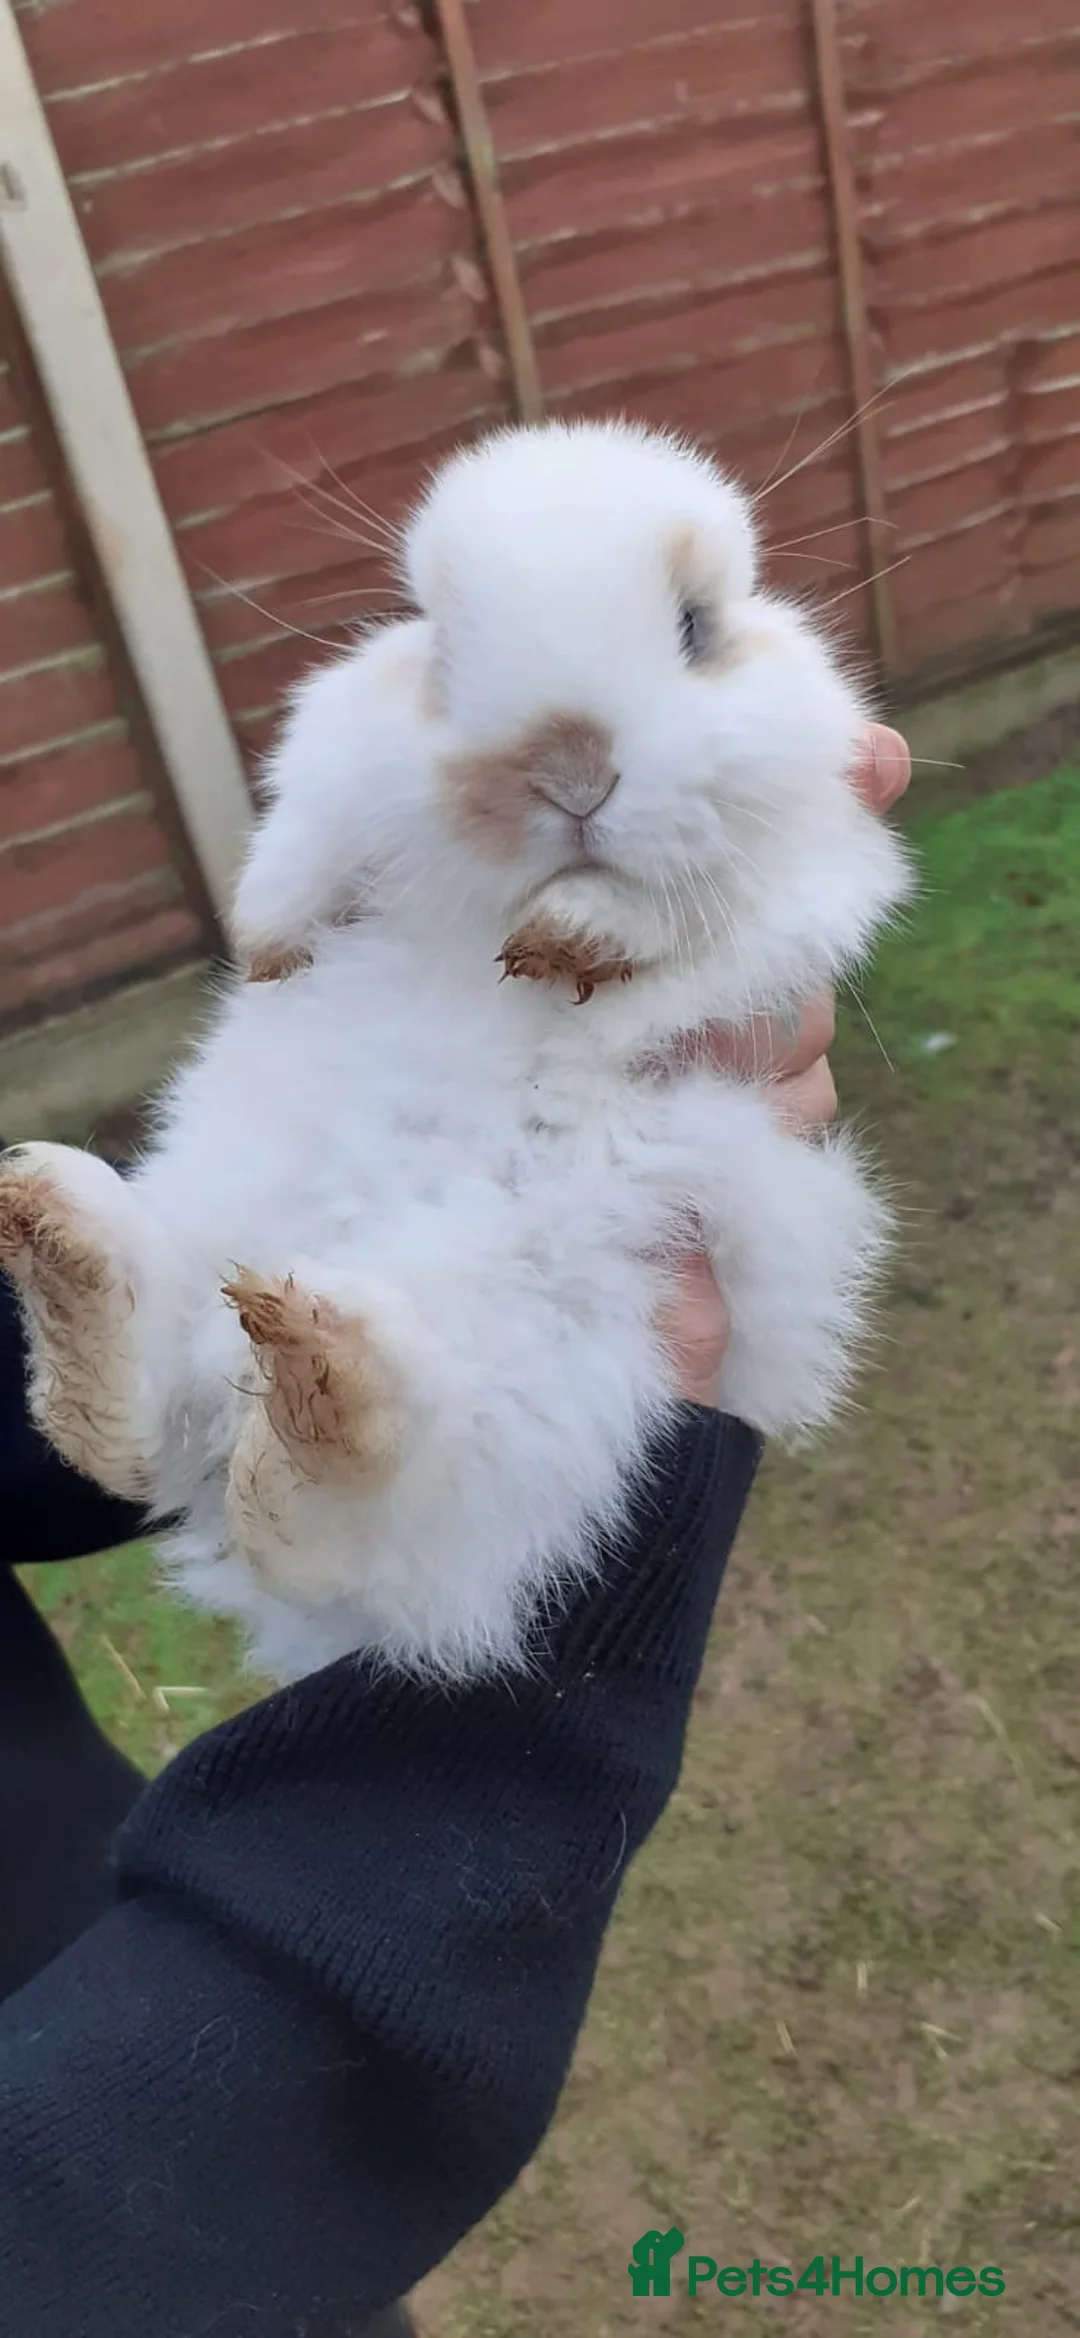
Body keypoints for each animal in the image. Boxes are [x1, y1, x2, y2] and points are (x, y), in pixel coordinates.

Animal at [0, 419, 912, 1683]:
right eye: (438, 646)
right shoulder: (332, 760)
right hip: (211, 1239)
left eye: (695, 628)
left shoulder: (806, 862)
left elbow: (680, 916)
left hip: (541, 1394)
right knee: (135, 1442)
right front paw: (272, 946)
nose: (568, 765)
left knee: (335, 1519)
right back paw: (65, 1235)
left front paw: (571, 933)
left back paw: (318, 1371)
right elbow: (297, 848)